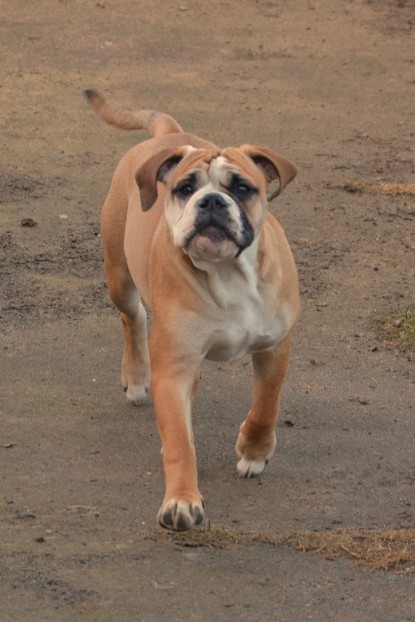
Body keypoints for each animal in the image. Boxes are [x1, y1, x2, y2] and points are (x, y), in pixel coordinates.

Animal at [84, 90, 300, 532]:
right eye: (185, 188)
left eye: (243, 187)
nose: (212, 201)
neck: (228, 272)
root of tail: (169, 133)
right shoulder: (174, 369)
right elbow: (179, 445)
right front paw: (181, 500)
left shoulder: (275, 345)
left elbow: (266, 403)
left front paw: (254, 450)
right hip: (119, 276)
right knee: (133, 316)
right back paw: (136, 375)